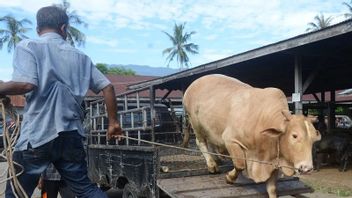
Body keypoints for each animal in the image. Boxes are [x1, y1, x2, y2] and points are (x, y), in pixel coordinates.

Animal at [183, 74, 320, 198]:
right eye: (294, 136)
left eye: (314, 139)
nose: (307, 168)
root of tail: (193, 84)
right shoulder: (231, 140)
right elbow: (239, 165)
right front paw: (229, 178)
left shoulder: (273, 160)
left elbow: (272, 189)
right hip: (195, 123)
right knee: (201, 142)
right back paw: (212, 165)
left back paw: (217, 159)